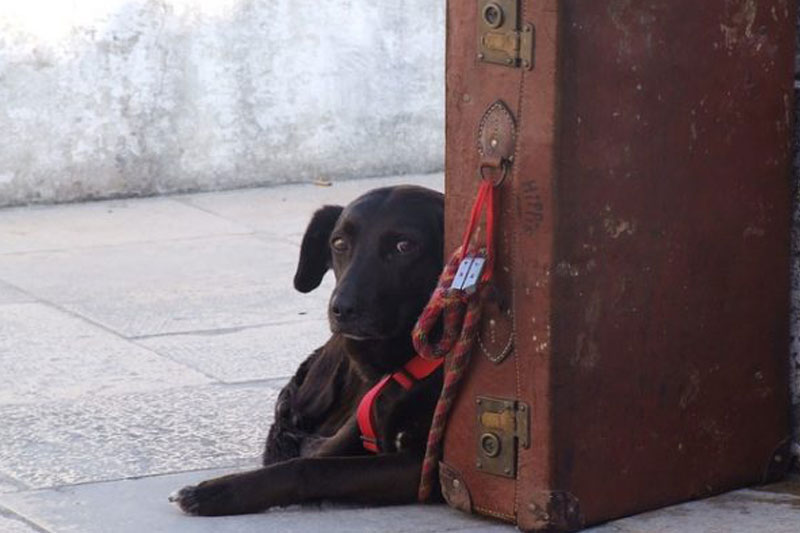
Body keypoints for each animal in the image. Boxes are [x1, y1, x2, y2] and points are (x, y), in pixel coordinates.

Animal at [171, 185, 444, 512]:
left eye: (405, 246)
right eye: (339, 243)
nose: (341, 309)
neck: (406, 362)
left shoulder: (425, 469)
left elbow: (308, 467)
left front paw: (219, 493)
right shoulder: (355, 432)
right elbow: (305, 460)